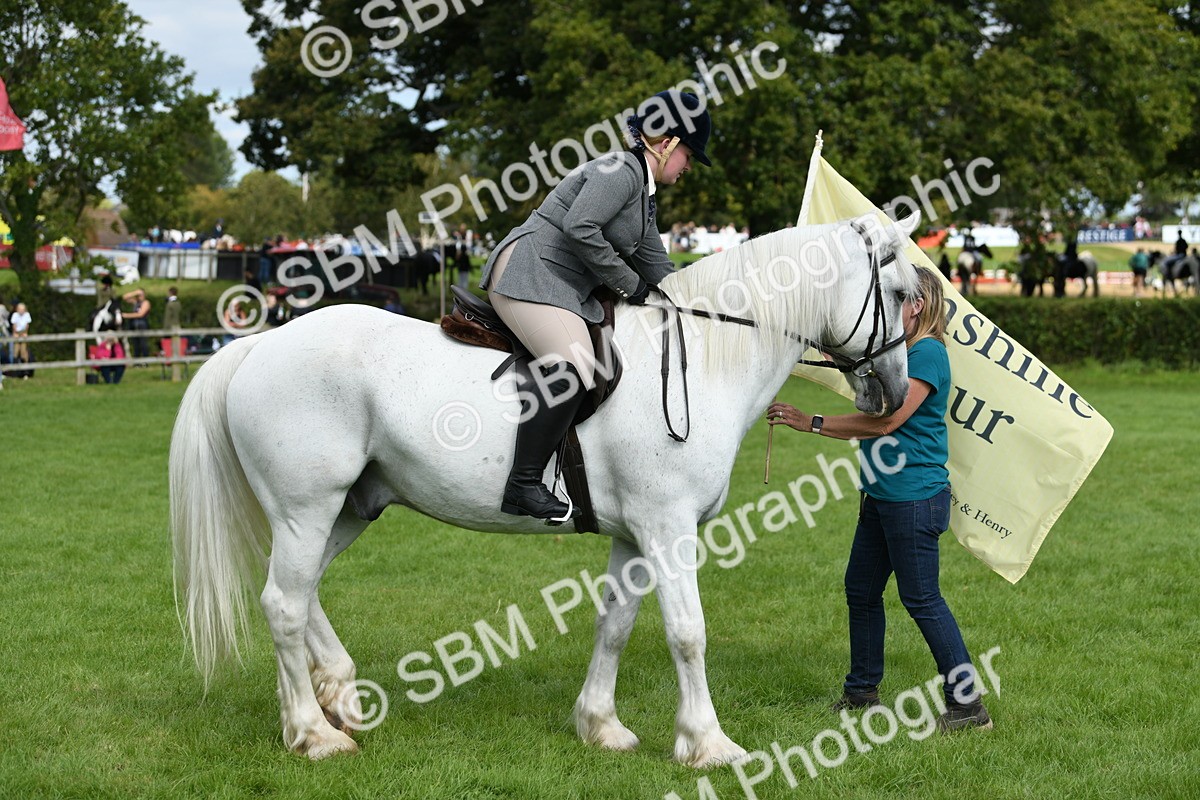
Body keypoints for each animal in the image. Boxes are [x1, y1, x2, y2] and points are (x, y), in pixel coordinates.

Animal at [170, 215, 921, 766]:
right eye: (898, 294)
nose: (891, 391)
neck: (704, 358)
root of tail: (259, 344)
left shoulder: (635, 535)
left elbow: (616, 624)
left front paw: (601, 727)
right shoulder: (668, 527)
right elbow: (687, 633)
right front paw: (709, 744)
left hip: (350, 508)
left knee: (300, 594)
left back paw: (334, 700)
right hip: (307, 508)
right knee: (284, 604)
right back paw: (314, 733)